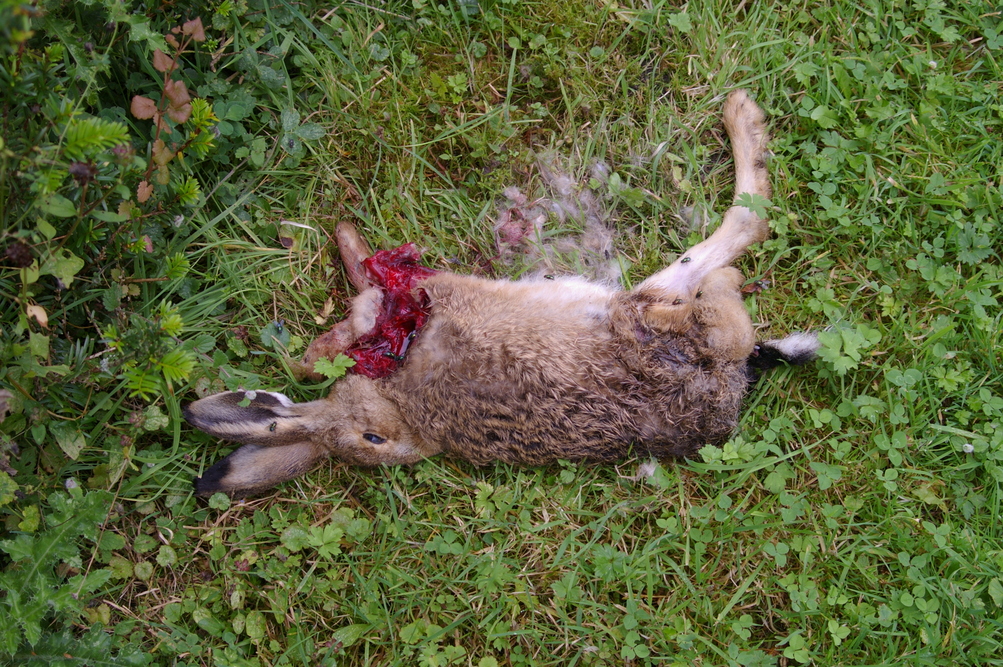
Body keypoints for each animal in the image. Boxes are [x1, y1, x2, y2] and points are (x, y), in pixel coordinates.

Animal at [184, 90, 819, 497]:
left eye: (374, 438)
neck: (404, 402)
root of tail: (726, 381)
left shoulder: (416, 297)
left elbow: (352, 314)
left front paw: (343, 259)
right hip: (642, 310)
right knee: (731, 261)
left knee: (743, 233)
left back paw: (740, 113)